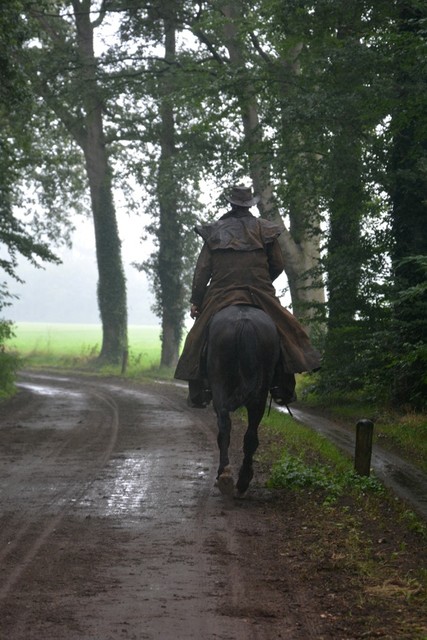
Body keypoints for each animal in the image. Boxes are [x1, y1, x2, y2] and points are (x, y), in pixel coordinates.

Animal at [206, 304, 282, 496]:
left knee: (224, 426)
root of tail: (245, 323)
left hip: (219, 385)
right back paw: (242, 480)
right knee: (251, 435)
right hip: (260, 396)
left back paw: (225, 475)